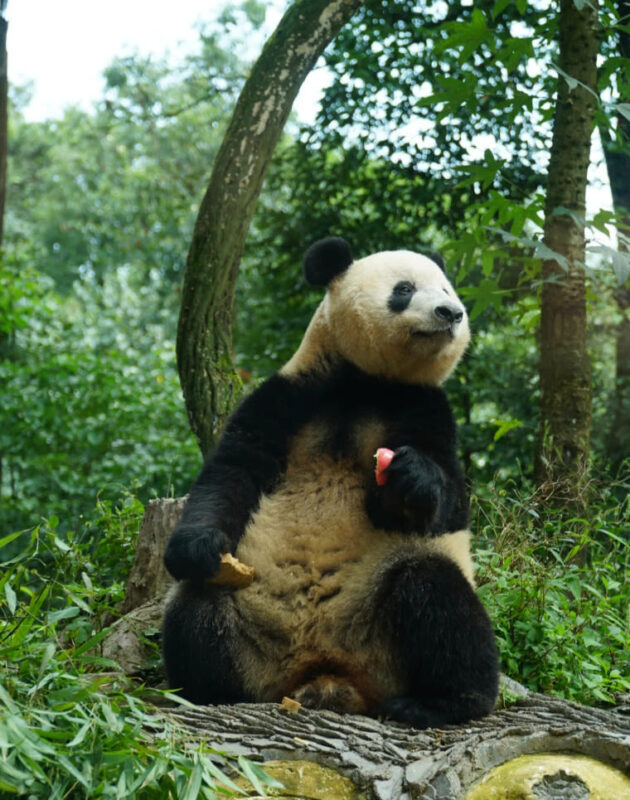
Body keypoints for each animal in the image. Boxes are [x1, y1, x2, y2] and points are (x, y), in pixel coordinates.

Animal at [162, 237, 499, 729]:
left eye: (446, 288)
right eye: (404, 289)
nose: (451, 313)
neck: (367, 383)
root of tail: (326, 676)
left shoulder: (429, 408)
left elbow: (447, 501)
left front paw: (410, 475)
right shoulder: (289, 396)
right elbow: (231, 472)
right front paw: (196, 543)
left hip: (383, 636)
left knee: (436, 596)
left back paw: (443, 702)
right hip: (254, 623)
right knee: (198, 606)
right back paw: (210, 693)